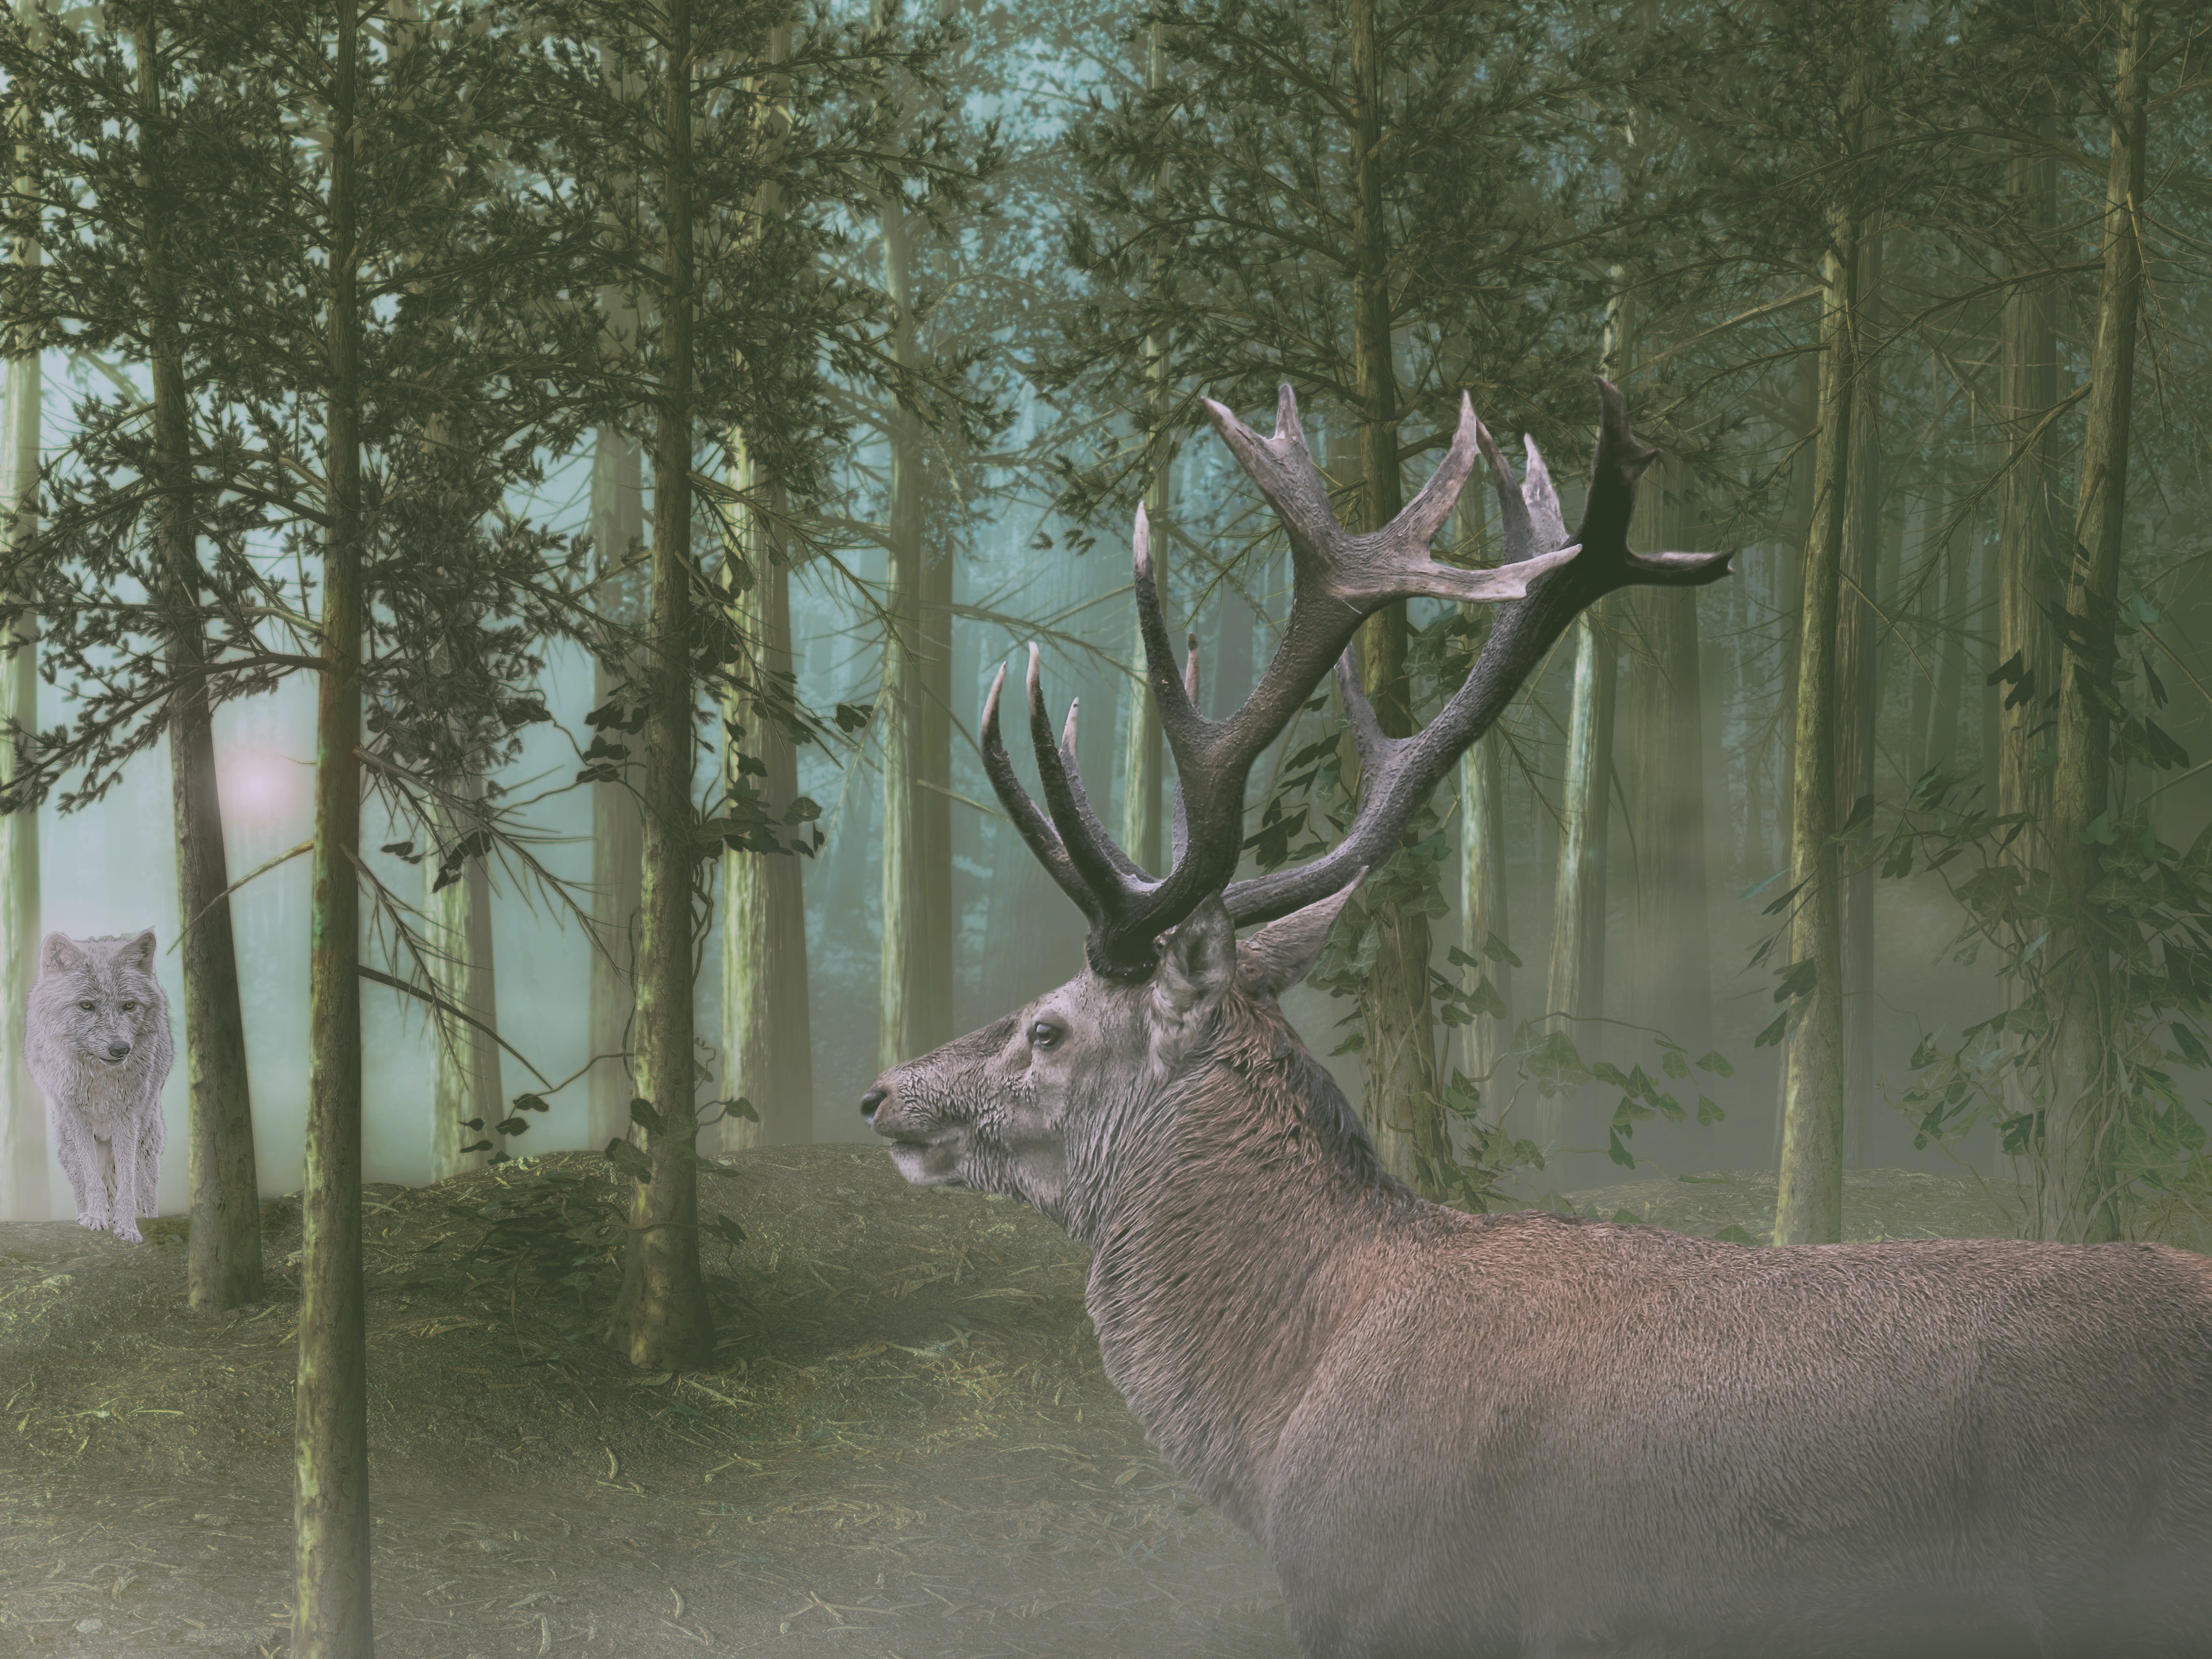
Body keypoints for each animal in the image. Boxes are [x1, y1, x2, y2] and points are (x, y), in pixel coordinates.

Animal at [25, 931, 174, 1243]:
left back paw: (145, 1217)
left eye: (129, 1005)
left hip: (147, 1141)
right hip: (67, 1144)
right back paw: (88, 1214)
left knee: (144, 1186)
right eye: (86, 1006)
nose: (121, 1049)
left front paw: (128, 1227)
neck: (100, 1078)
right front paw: (95, 1218)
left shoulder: (127, 1119)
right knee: (87, 1181)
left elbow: (127, 1185)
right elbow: (91, 1177)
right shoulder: (76, 1117)